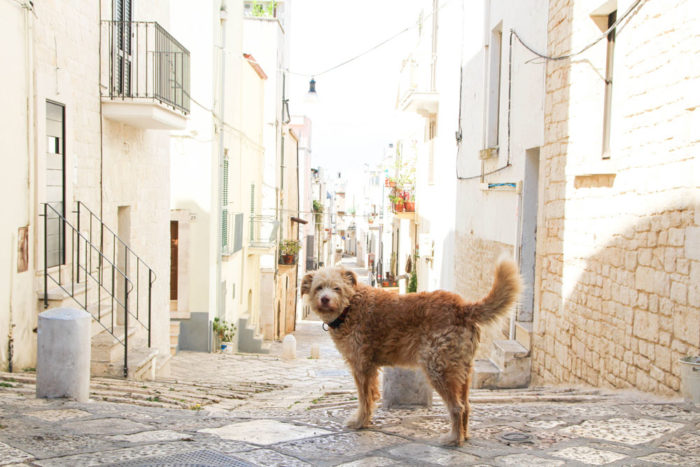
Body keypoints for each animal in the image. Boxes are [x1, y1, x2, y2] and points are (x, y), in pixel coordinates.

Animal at [300, 260, 520, 446]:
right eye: (319, 287)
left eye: (336, 288)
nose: (325, 299)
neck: (350, 306)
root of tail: (462, 307)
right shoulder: (369, 368)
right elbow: (371, 397)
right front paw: (366, 421)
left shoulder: (361, 367)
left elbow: (364, 399)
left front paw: (360, 422)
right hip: (463, 370)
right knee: (466, 406)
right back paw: (463, 436)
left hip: (438, 369)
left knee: (457, 407)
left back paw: (453, 439)